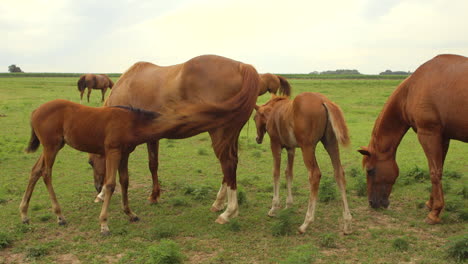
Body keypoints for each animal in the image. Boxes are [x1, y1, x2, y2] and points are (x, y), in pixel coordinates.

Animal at [22, 55, 260, 233]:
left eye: (90, 163)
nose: (96, 187)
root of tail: (243, 67)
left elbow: (146, 167)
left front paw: (106, 196)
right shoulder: (148, 137)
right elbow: (152, 165)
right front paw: (154, 196)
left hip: (219, 132)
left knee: (227, 164)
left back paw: (228, 212)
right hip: (230, 134)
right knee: (230, 165)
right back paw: (219, 204)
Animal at [254, 94, 352, 234]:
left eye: (254, 118)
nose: (257, 138)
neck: (274, 111)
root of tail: (324, 101)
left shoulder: (275, 145)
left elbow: (276, 173)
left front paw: (274, 207)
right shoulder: (291, 148)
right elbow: (288, 173)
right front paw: (289, 205)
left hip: (308, 147)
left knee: (315, 174)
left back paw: (306, 223)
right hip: (331, 143)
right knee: (339, 173)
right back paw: (347, 223)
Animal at [358, 54, 468, 225]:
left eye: (370, 170)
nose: (372, 203)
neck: (411, 90)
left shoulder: (428, 135)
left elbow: (434, 172)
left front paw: (434, 213)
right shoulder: (443, 137)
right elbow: (439, 170)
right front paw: (431, 204)